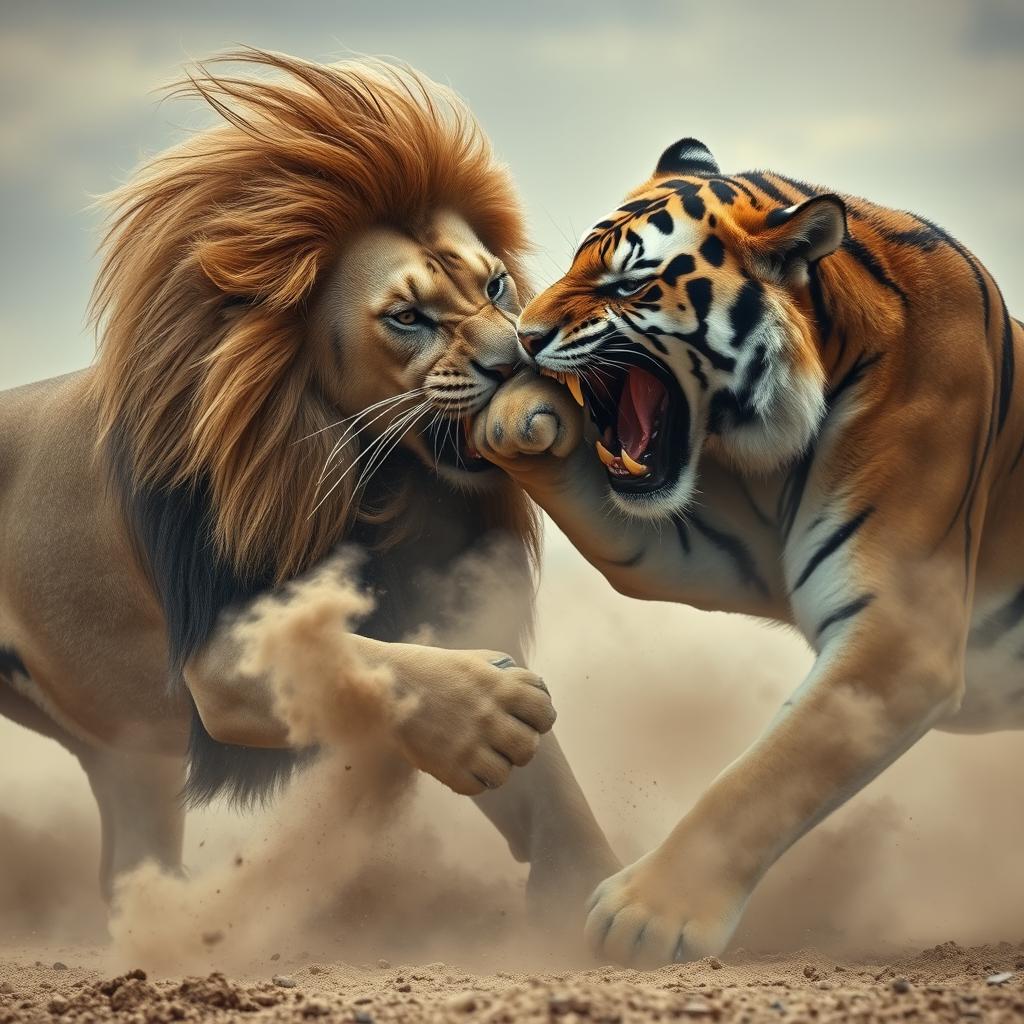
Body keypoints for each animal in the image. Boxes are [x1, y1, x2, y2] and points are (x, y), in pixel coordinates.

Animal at [0, 50, 617, 914]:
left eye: (495, 286)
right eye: (408, 317)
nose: (516, 359)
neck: (377, 481)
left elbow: (553, 803)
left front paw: (599, 906)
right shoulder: (217, 656)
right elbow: (357, 663)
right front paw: (487, 713)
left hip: (126, 755)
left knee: (129, 859)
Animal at [471, 137, 1024, 966]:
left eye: (629, 283)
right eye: (574, 266)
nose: (523, 339)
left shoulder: (900, 640)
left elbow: (766, 776)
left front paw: (646, 916)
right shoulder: (722, 547)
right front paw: (519, 414)